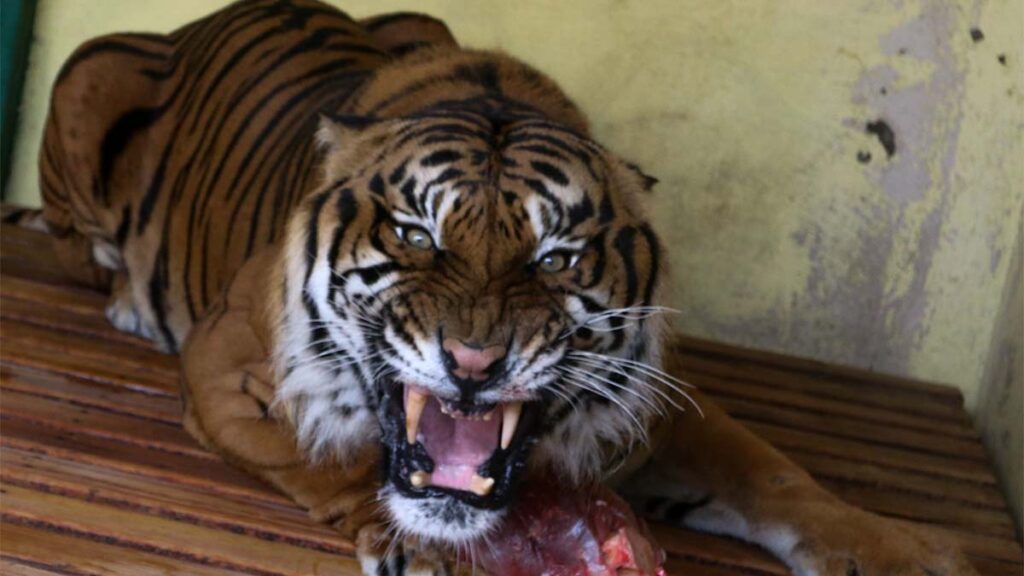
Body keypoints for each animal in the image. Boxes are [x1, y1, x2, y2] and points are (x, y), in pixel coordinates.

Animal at [34, 1, 977, 574]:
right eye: (416, 236)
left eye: (554, 258)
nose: (475, 363)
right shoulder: (222, 370)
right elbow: (336, 460)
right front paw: (424, 544)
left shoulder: (658, 408)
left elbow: (777, 476)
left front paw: (899, 553)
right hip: (86, 73)